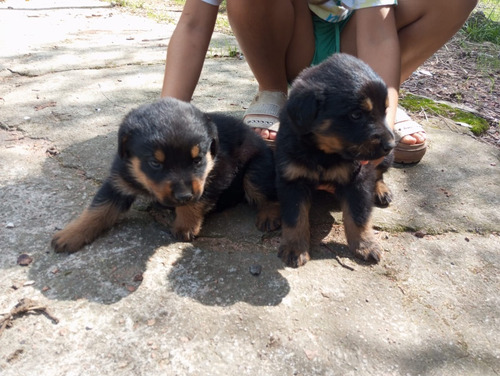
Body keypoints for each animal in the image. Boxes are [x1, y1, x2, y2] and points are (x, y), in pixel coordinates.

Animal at [54, 98, 282, 254]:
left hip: (255, 169)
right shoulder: (119, 181)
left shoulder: (216, 174)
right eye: (155, 163)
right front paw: (70, 234)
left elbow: (197, 201)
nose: (183, 196)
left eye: (197, 160)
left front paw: (185, 225)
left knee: (265, 192)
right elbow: (99, 209)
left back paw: (269, 215)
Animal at [274, 54, 394, 268]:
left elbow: (358, 216)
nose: (391, 144)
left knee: (379, 173)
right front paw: (294, 248)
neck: (323, 153)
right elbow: (295, 217)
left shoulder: (358, 179)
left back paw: (381, 191)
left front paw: (365, 245)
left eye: (385, 111)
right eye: (356, 115)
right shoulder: (291, 179)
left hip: (384, 160)